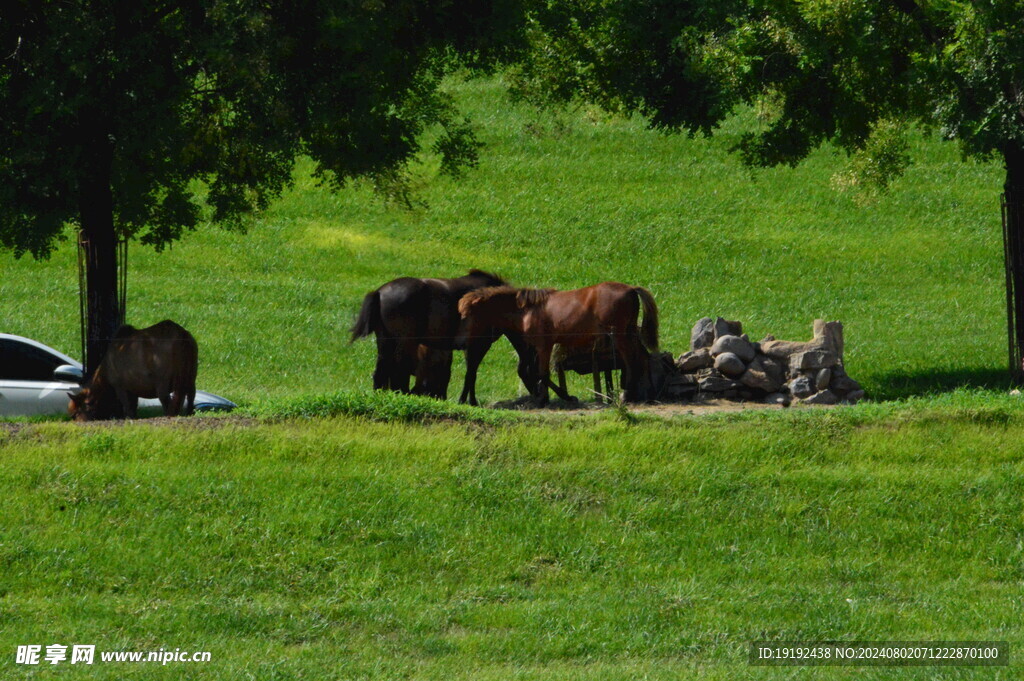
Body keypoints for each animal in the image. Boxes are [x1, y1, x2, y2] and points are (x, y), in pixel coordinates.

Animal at [68, 319, 197, 419]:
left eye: (75, 414)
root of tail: (182, 335)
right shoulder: (134, 390)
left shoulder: (120, 387)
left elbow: (128, 409)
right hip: (191, 378)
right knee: (190, 398)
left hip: (163, 383)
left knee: (168, 404)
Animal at [352, 266, 536, 403]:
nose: (538, 397)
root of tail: (379, 292)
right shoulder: (478, 345)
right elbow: (472, 374)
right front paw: (470, 402)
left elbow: (468, 373)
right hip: (405, 341)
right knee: (398, 371)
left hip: (385, 340)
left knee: (381, 372)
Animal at [460, 282, 659, 403]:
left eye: (469, 314)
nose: (467, 340)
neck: (527, 310)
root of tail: (631, 288)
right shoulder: (538, 348)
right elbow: (537, 373)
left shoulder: (543, 346)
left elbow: (541, 374)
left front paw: (561, 397)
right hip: (630, 333)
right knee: (643, 358)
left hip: (619, 335)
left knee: (632, 361)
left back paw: (628, 394)